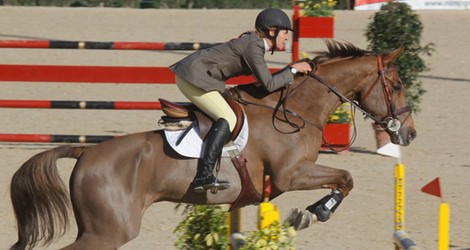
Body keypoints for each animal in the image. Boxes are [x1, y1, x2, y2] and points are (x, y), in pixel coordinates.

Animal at [9, 41, 416, 250]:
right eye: (396, 86)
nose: (409, 134)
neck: (296, 110)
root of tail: (86, 152)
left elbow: (345, 179)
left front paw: (310, 213)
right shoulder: (291, 175)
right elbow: (345, 177)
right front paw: (313, 213)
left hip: (99, 229)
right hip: (107, 231)